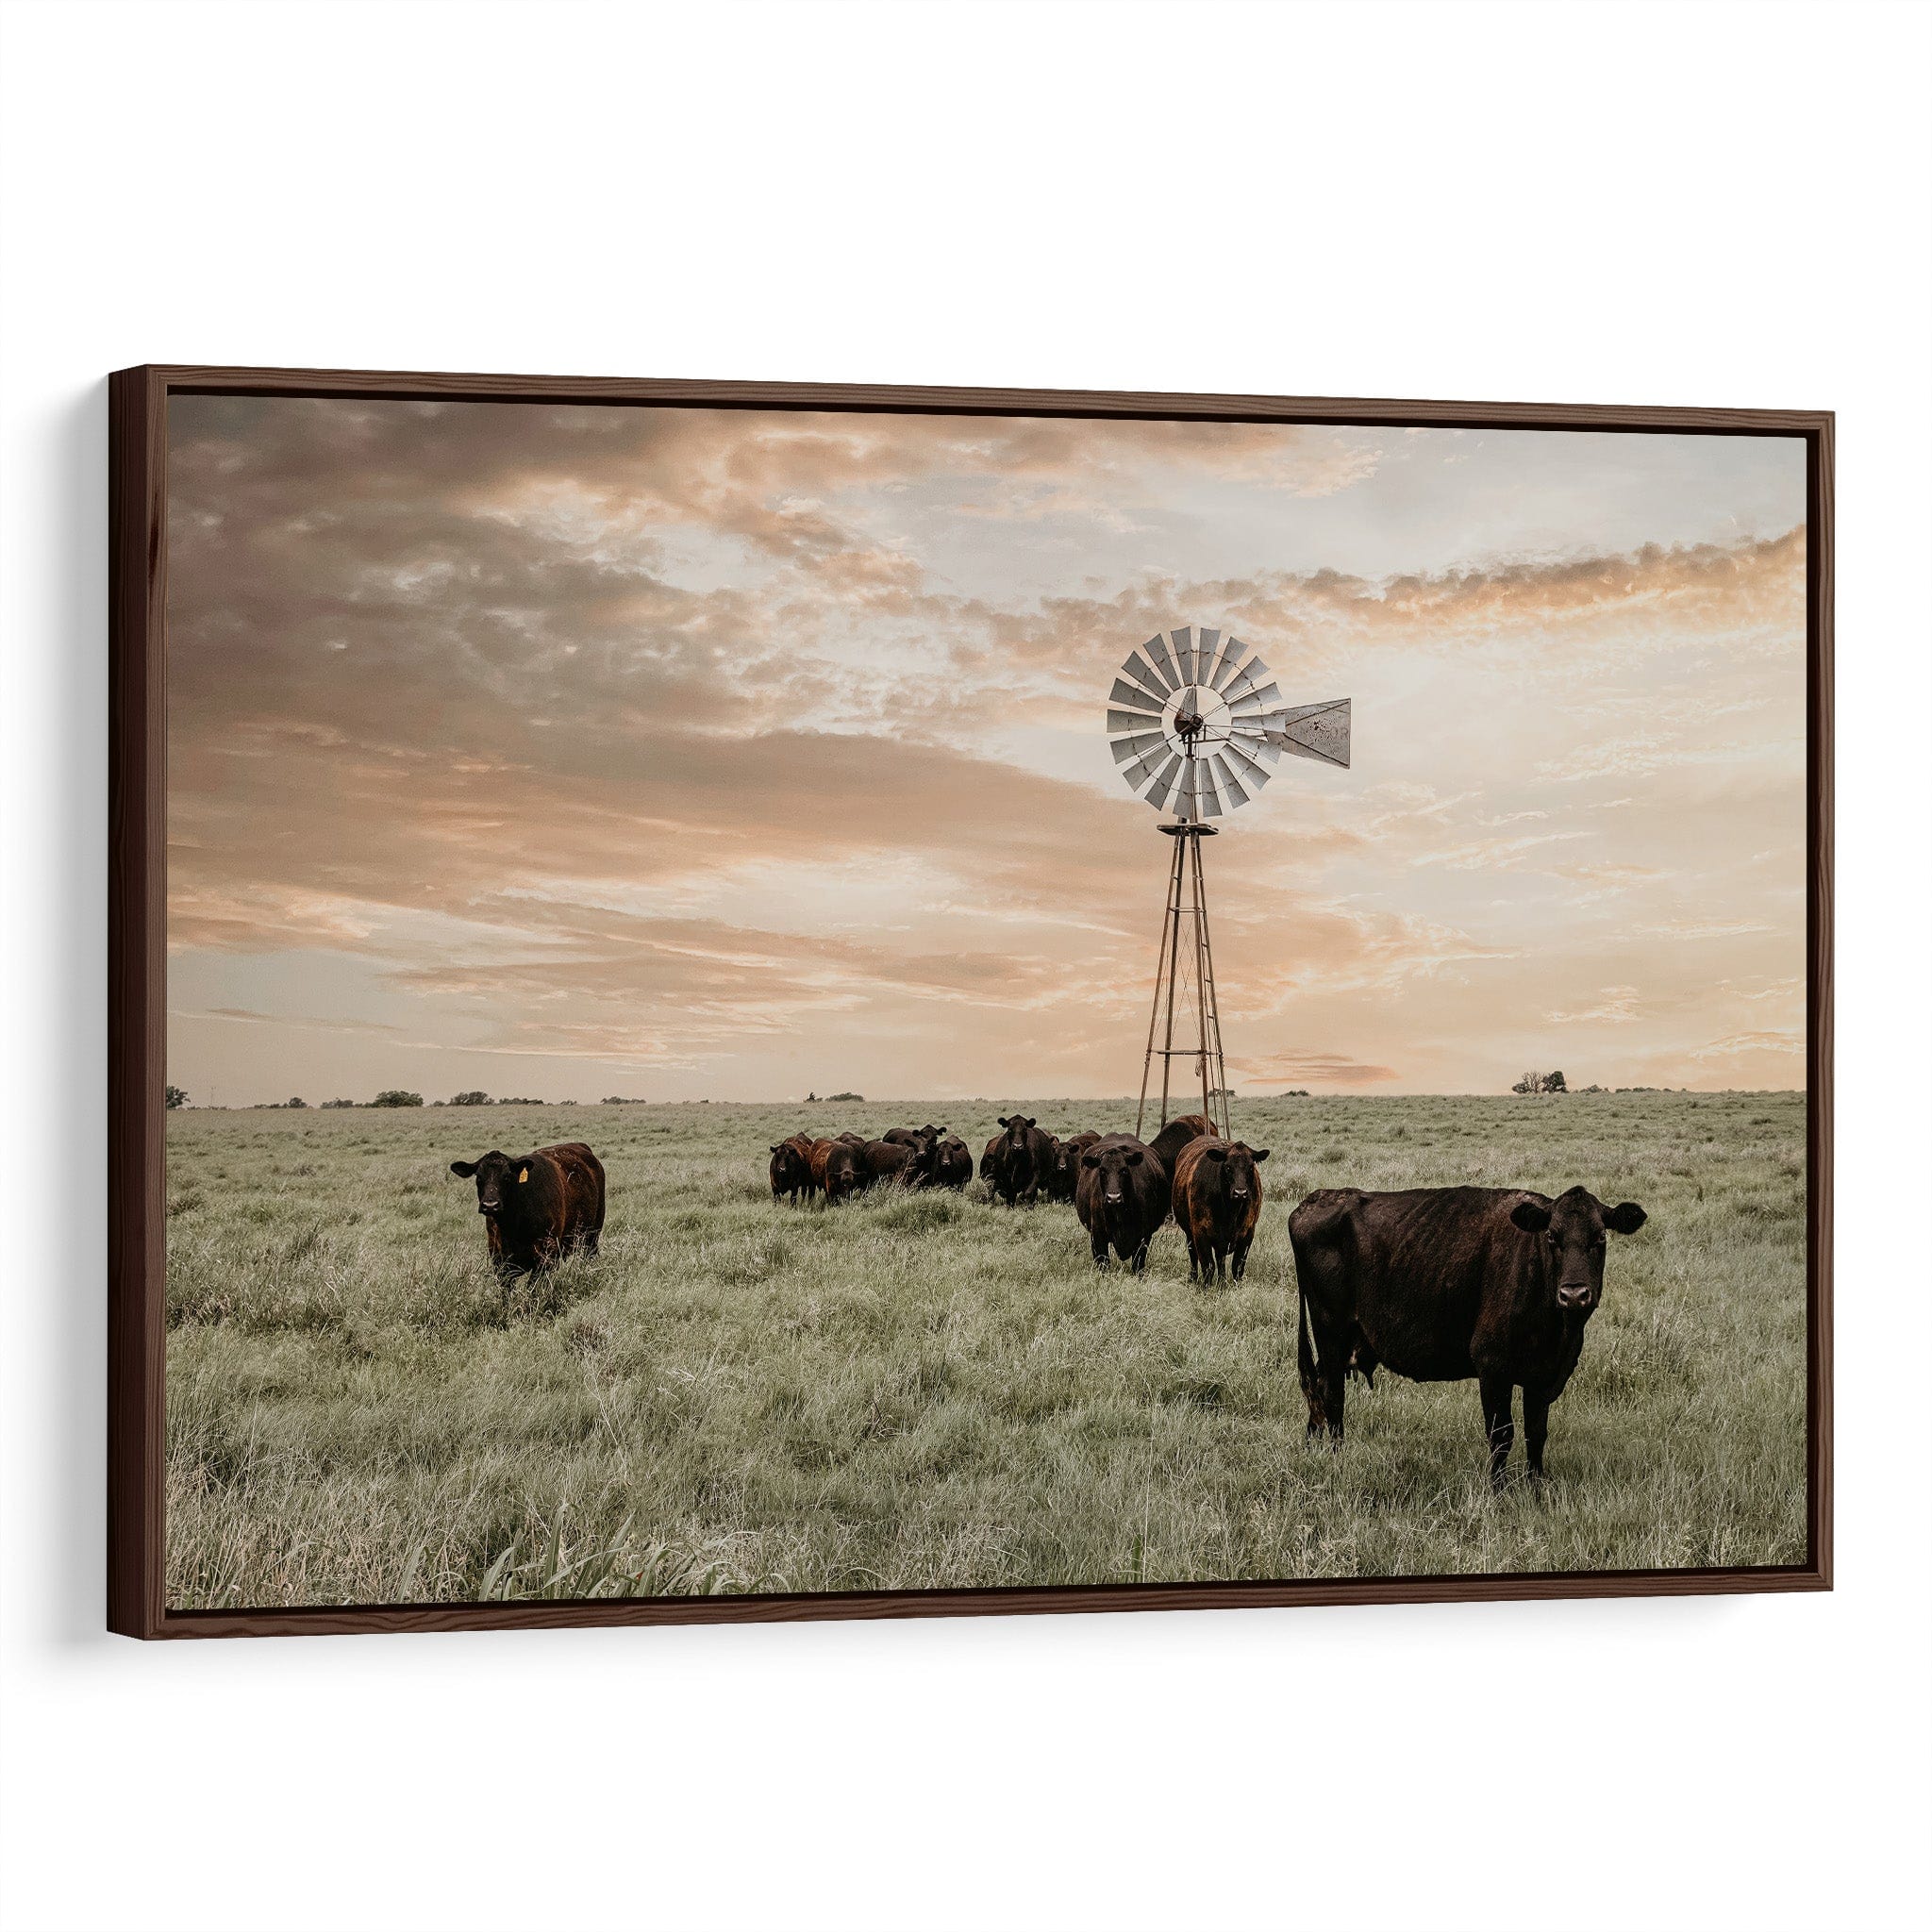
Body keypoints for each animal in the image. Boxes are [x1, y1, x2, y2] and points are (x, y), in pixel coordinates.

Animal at [1291, 1182, 1654, 1483]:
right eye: (1552, 1237)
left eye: (1600, 1238)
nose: (1574, 1294)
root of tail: (1315, 1200)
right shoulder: (1492, 1367)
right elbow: (1502, 1434)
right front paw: (1498, 1489)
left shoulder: (1542, 1375)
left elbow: (1536, 1433)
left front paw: (1537, 1487)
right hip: (1330, 1331)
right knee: (1332, 1396)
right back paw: (1336, 1457)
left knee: (1317, 1391)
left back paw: (1312, 1449)